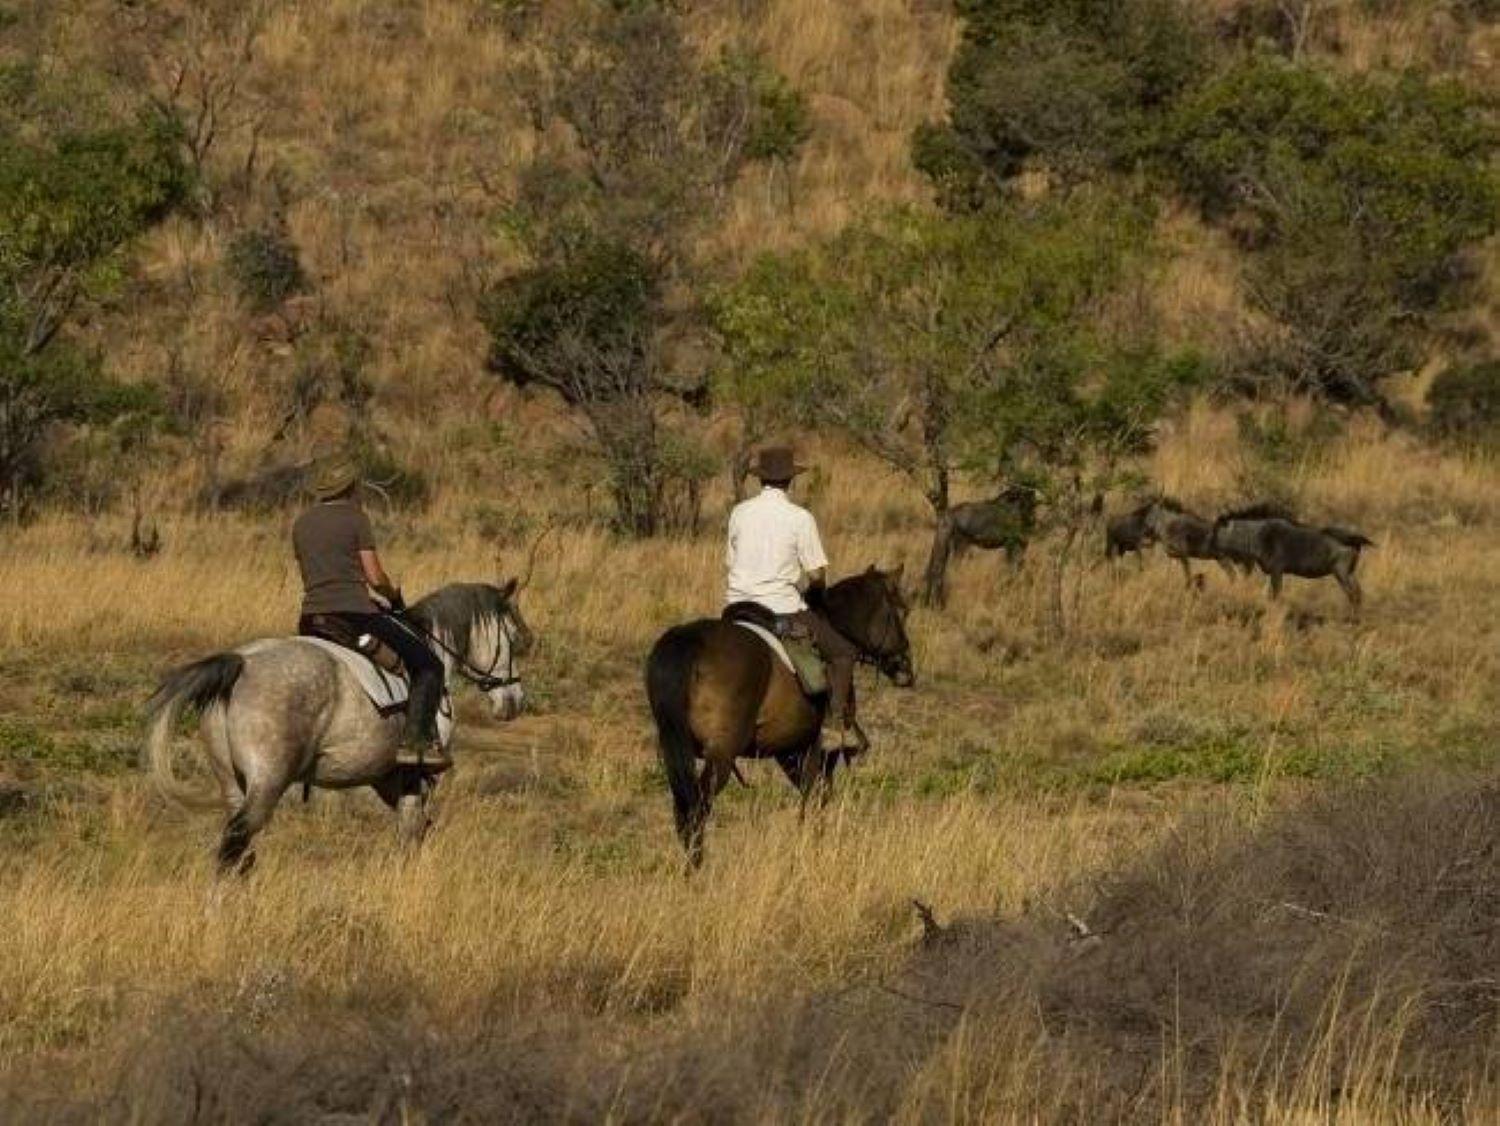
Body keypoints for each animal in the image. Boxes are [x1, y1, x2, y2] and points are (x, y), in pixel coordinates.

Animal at [146, 581, 531, 869]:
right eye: (513, 638)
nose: (514, 701)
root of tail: (242, 662)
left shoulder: (387, 776)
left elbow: (415, 829)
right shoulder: (416, 773)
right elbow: (413, 829)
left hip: (232, 782)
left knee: (240, 851)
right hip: (267, 781)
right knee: (235, 841)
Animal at [645, 566, 912, 869]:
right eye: (902, 611)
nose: (906, 669)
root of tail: (690, 643)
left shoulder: (789, 750)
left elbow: (812, 796)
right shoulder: (815, 750)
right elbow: (816, 797)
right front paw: (812, 851)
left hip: (677, 751)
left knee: (682, 808)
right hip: (721, 755)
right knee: (697, 807)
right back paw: (698, 869)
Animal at [1212, 503, 1374, 608]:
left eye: (1215, 531)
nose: (1214, 553)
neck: (1260, 535)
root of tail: (1354, 540)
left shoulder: (1277, 571)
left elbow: (1275, 595)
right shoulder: (1270, 573)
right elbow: (1267, 595)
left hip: (1341, 573)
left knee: (1353, 595)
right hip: (1349, 573)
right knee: (1358, 594)